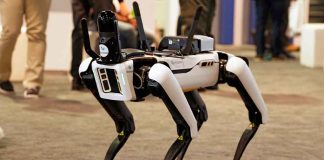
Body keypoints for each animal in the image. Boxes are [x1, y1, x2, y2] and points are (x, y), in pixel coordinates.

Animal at [78, 1, 268, 159]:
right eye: (103, 76)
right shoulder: (87, 73)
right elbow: (125, 125)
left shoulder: (161, 75)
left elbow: (186, 129)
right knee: (200, 114)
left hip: (230, 66)